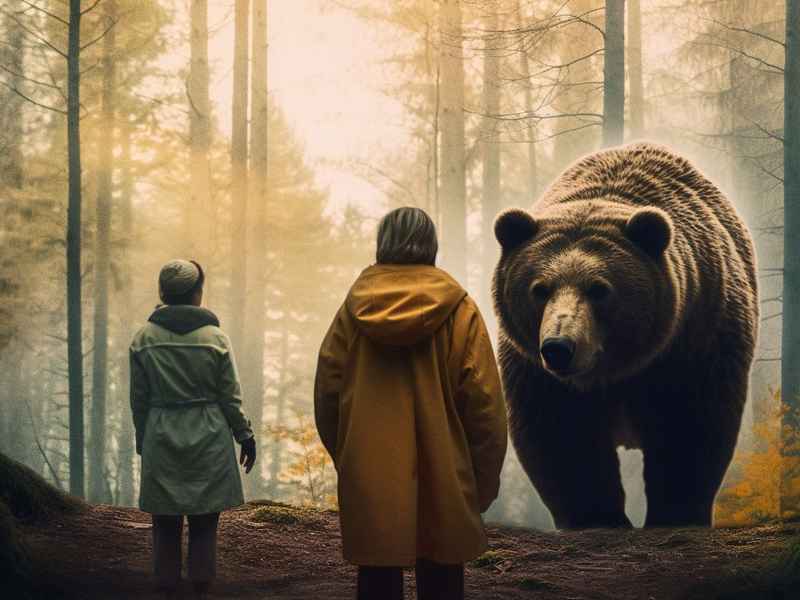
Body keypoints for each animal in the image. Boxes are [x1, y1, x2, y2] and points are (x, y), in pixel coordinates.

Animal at [492, 142, 758, 529]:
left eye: (599, 289)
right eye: (540, 289)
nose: (559, 347)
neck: (616, 369)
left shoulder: (695, 337)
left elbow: (691, 426)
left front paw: (675, 513)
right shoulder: (536, 369)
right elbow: (562, 435)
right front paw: (596, 516)